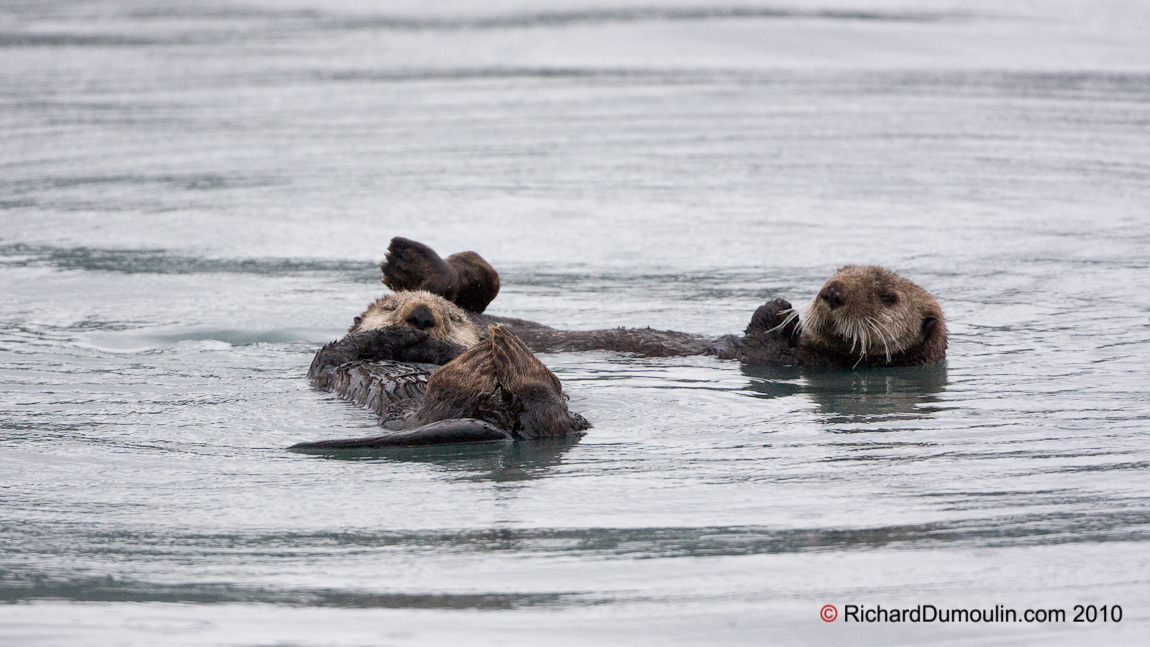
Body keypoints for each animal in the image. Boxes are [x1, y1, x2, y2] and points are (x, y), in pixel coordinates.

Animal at [292, 291, 588, 450]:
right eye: (389, 307)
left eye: (455, 318)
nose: (422, 315)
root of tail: (497, 418)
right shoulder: (326, 365)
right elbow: (344, 347)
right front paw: (401, 332)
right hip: (406, 417)